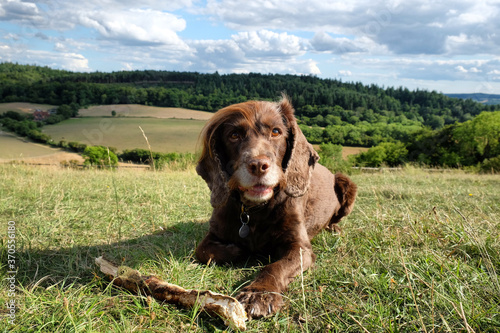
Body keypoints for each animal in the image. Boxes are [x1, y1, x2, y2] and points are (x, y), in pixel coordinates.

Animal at [195, 95, 356, 316]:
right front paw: (236, 250)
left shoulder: (300, 248)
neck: (254, 211)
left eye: (276, 131)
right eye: (234, 135)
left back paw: (334, 228)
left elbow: (274, 267)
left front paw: (259, 293)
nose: (258, 165)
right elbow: (203, 251)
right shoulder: (216, 230)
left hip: (346, 182)